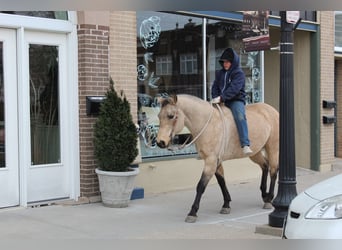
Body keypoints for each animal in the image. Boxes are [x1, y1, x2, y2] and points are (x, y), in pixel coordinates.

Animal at [156, 94, 280, 223]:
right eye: (159, 116)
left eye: (170, 116)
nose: (160, 142)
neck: (208, 124)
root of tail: (272, 110)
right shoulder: (215, 161)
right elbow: (221, 182)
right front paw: (226, 204)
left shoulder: (211, 161)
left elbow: (201, 186)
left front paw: (192, 212)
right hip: (255, 152)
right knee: (265, 165)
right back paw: (264, 195)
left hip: (272, 148)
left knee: (273, 171)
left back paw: (269, 199)